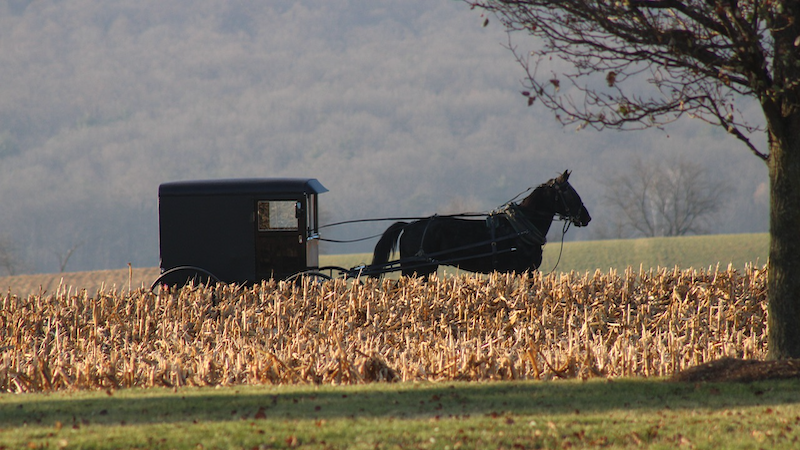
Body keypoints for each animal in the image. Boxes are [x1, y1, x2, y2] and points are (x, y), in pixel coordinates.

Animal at [368, 171, 588, 278]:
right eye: (568, 191)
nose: (586, 217)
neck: (520, 227)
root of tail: (408, 226)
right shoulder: (526, 270)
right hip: (416, 270)